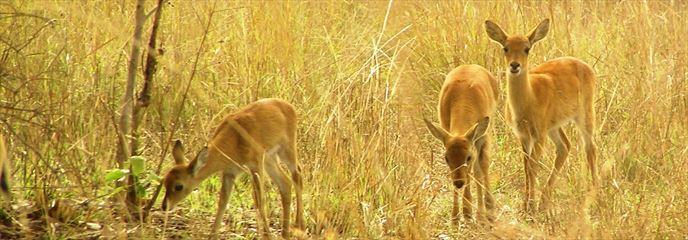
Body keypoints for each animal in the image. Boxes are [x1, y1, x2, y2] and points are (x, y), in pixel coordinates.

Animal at [161, 98, 304, 239]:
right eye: (165, 182)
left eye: (179, 186)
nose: (164, 206)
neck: (235, 139)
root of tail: (288, 105)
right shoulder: (230, 173)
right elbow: (223, 202)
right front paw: (213, 235)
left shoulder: (255, 165)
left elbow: (259, 200)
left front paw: (267, 236)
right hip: (270, 159)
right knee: (286, 183)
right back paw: (285, 233)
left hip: (286, 150)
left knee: (297, 175)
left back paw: (299, 227)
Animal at [422, 64, 498, 225]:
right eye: (446, 158)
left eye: (468, 157)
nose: (458, 183)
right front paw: (457, 216)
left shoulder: (480, 137)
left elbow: (477, 171)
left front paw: (478, 215)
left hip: (488, 129)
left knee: (482, 166)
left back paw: (489, 209)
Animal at [484, 19, 596, 214]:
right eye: (505, 47)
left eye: (527, 48)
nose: (515, 65)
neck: (529, 100)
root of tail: (585, 65)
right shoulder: (523, 135)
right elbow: (526, 166)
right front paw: (526, 205)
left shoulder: (538, 135)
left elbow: (533, 167)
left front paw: (530, 206)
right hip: (554, 126)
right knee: (565, 146)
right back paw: (544, 200)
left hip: (584, 114)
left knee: (591, 148)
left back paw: (598, 195)